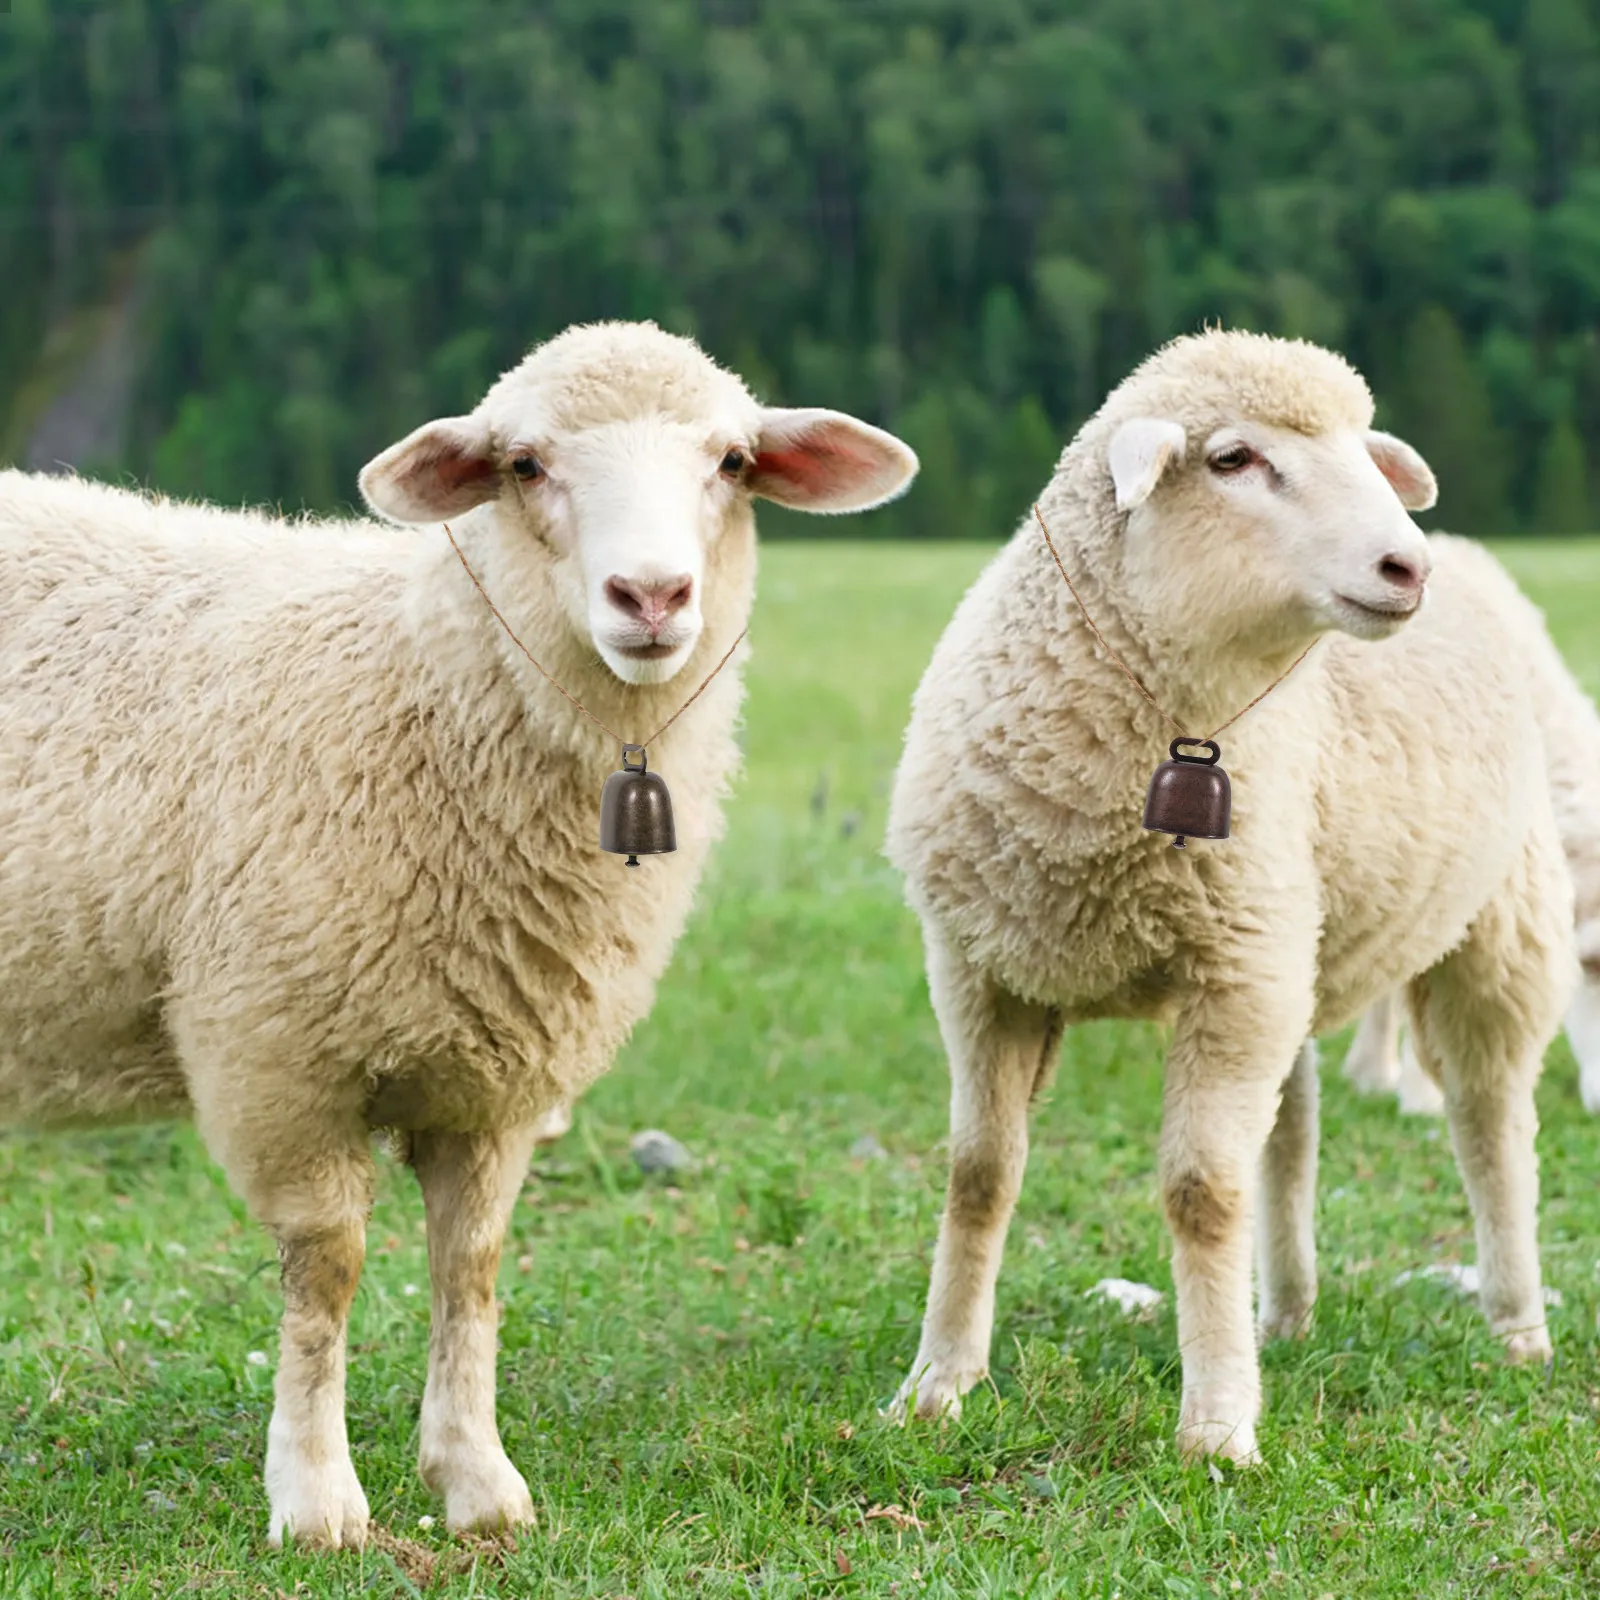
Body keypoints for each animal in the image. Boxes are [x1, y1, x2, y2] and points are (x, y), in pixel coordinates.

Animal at [0, 319, 917, 1547]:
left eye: (731, 462)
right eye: (524, 464)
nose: (651, 595)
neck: (420, 685)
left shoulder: (498, 1076)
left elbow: (469, 1269)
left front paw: (477, 1481)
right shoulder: (274, 1054)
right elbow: (326, 1271)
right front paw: (316, 1498)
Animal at [884, 328, 1582, 1465]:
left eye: (1365, 453)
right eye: (1232, 459)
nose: (1406, 567)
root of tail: (1477, 559)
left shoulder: (1231, 974)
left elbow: (1201, 1193)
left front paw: (1215, 1425)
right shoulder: (983, 970)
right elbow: (978, 1173)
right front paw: (937, 1384)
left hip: (1492, 924)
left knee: (1490, 1121)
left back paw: (1516, 1325)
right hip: (1290, 941)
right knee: (1291, 1132)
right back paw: (1282, 1315)